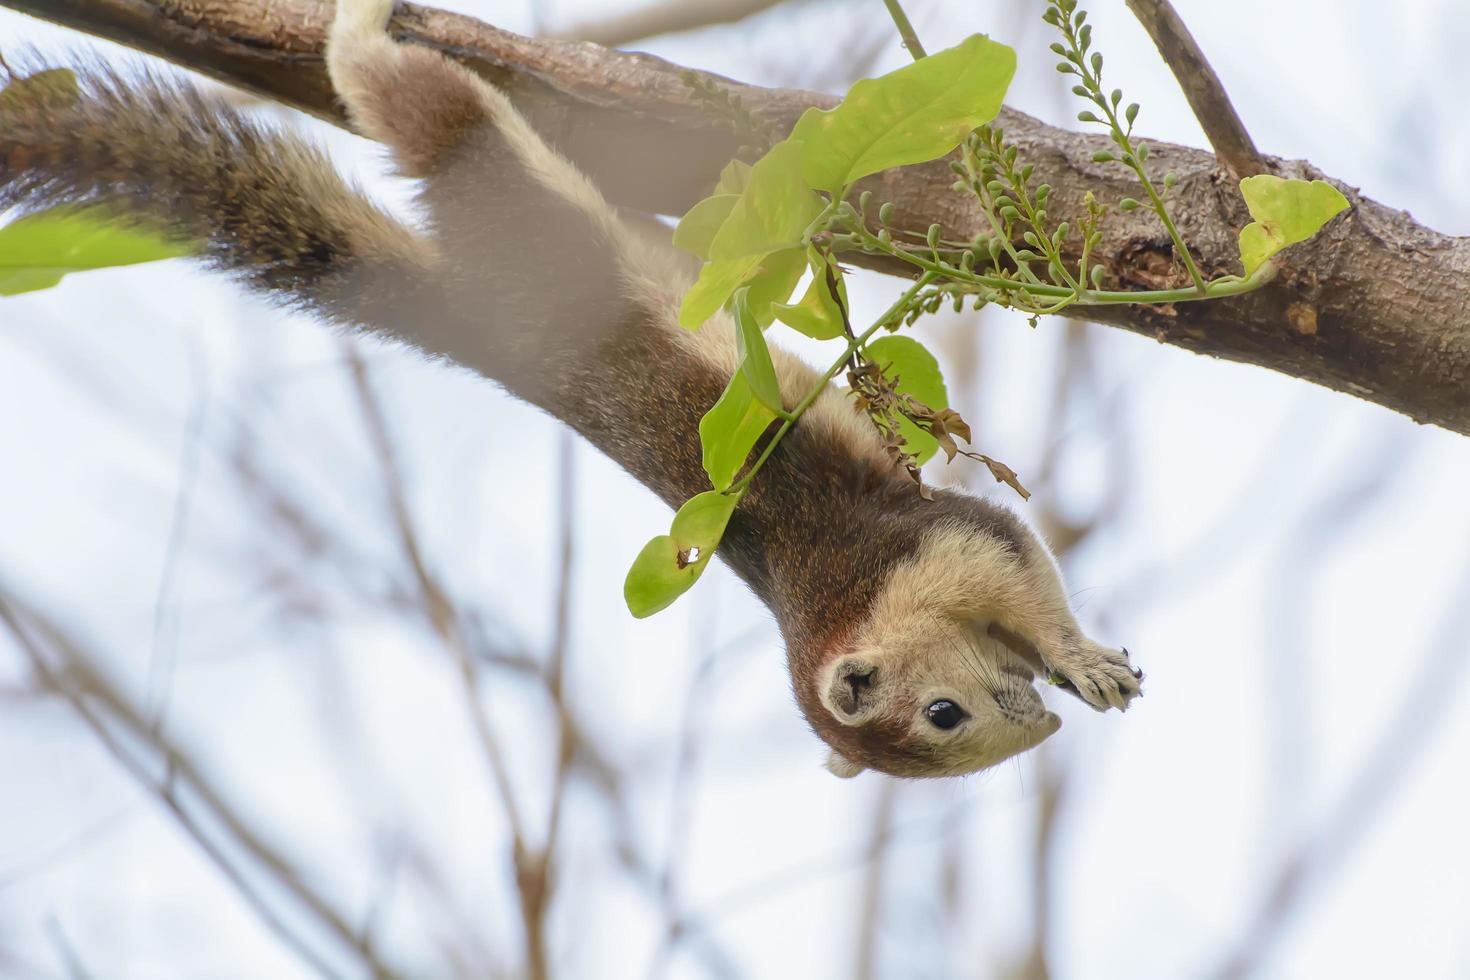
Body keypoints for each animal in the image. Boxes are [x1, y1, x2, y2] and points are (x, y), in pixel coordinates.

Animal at [0, 0, 1140, 781]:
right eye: (945, 724)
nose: (1039, 725)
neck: (833, 605)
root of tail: (484, 324)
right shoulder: (922, 557)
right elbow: (1016, 567)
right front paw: (1078, 667)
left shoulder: (921, 546)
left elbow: (1017, 559)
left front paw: (1075, 658)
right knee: (393, 89)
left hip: (490, 176)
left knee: (400, 94)